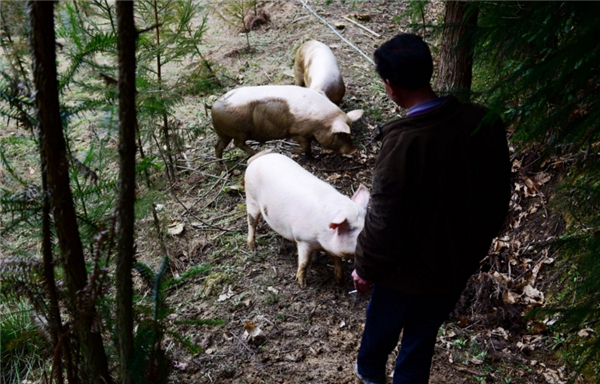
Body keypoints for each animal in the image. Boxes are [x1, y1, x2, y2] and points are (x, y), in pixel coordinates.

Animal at [209, 85, 364, 159]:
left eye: (350, 134)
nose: (354, 150)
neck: (320, 122)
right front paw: (294, 151)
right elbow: (305, 146)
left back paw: (221, 166)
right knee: (237, 143)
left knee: (218, 146)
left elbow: (309, 147)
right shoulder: (296, 132)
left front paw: (312, 158)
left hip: (224, 133)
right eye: (340, 134)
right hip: (239, 132)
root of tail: (213, 105)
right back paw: (258, 152)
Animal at [245, 152, 370, 286]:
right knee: (252, 223)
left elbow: (337, 261)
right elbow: (304, 262)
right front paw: (302, 284)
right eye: (352, 228)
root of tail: (257, 159)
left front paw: (339, 280)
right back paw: (252, 247)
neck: (320, 239)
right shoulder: (302, 240)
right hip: (251, 199)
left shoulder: (328, 245)